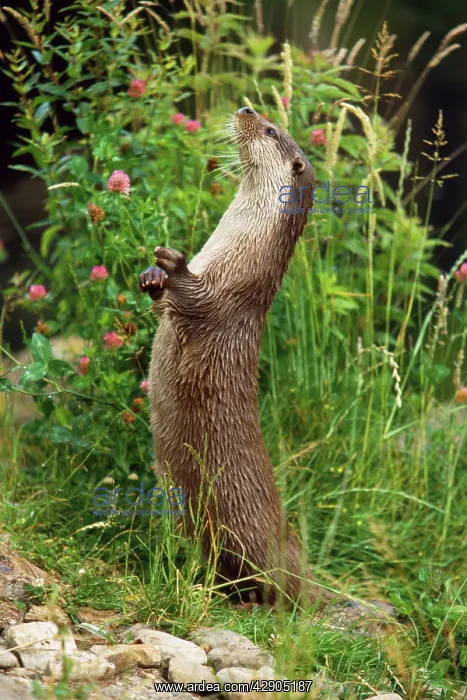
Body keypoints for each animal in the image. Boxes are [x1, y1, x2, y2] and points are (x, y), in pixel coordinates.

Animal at [139, 107, 331, 606]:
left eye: (270, 130)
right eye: (266, 118)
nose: (246, 109)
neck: (231, 257)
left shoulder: (225, 296)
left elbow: (195, 297)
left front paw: (173, 265)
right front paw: (152, 276)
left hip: (245, 532)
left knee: (272, 586)